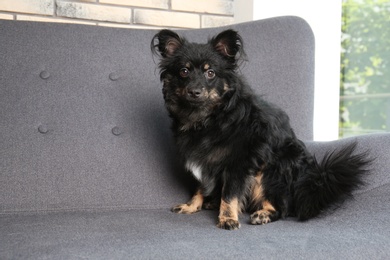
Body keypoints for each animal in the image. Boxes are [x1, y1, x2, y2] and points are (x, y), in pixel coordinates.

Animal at [151, 29, 370, 231]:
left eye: (210, 73)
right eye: (184, 71)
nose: (194, 91)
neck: (210, 117)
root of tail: (310, 184)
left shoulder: (238, 163)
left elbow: (230, 194)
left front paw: (228, 218)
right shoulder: (202, 158)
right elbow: (199, 187)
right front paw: (191, 205)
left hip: (269, 171)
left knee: (282, 208)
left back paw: (262, 214)